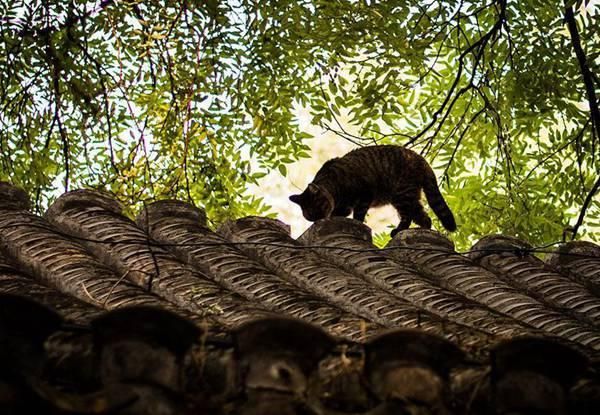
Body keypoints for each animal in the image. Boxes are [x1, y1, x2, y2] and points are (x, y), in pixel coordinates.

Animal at [290, 145, 454, 237]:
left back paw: (399, 230)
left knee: (409, 216)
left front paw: (356, 222)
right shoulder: (344, 207)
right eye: (310, 216)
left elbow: (358, 215)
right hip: (407, 197)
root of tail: (421, 159)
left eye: (317, 207)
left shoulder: (365, 195)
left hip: (401, 195)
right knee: (424, 217)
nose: (319, 219)